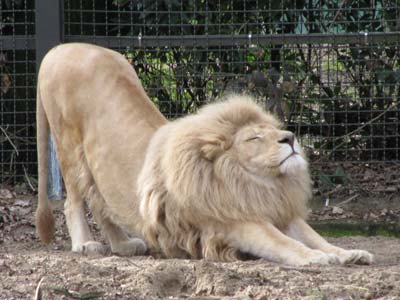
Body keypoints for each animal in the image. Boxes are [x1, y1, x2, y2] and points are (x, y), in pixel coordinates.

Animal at [35, 42, 376, 264]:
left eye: (273, 129)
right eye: (254, 137)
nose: (290, 138)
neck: (254, 181)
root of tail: (59, 48)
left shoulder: (275, 208)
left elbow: (315, 236)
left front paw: (349, 254)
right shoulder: (234, 221)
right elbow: (283, 242)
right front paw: (315, 258)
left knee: (100, 202)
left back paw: (123, 245)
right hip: (68, 148)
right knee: (74, 201)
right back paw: (85, 244)